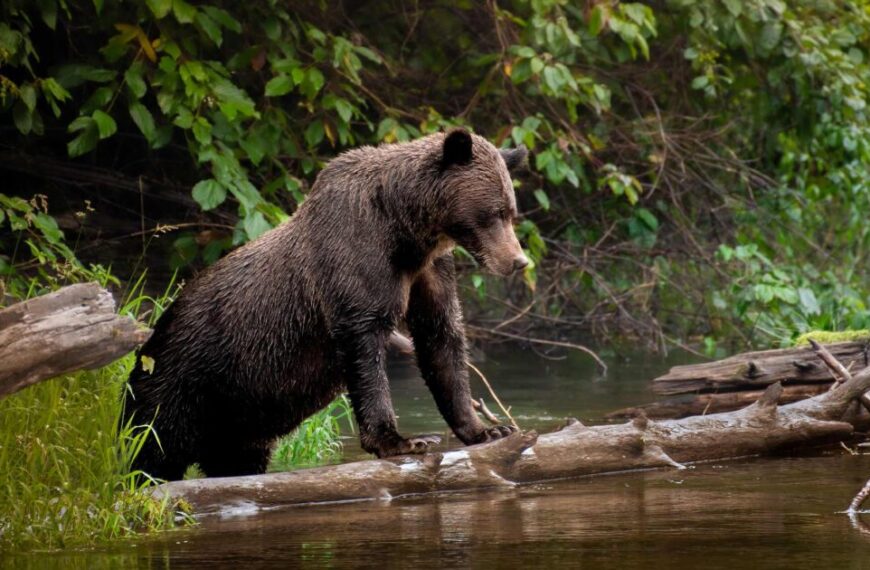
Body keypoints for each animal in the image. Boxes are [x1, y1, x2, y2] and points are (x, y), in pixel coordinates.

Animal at [123, 128, 529, 480]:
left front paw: (489, 429)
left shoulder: (430, 270)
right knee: (150, 448)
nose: (518, 261)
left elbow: (441, 339)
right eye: (494, 213)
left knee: (234, 459)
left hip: (235, 420)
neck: (407, 232)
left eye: (510, 212)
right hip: (183, 382)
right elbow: (366, 348)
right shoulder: (354, 260)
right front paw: (403, 440)